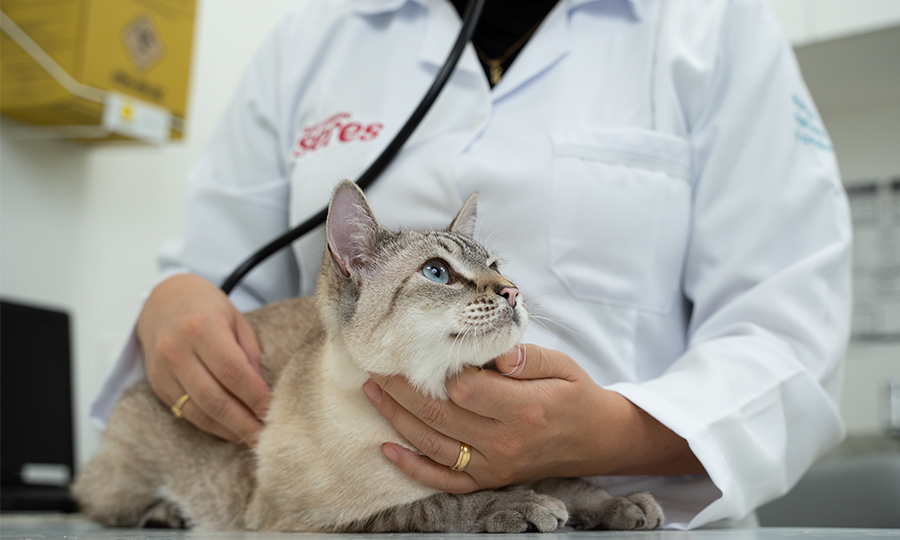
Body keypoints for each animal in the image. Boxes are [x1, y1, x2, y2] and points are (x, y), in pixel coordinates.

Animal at [74, 180, 664, 532]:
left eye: (496, 266)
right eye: (437, 273)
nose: (513, 292)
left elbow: (559, 479)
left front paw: (617, 504)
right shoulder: (303, 524)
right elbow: (437, 503)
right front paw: (520, 505)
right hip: (128, 476)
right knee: (93, 499)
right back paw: (161, 513)